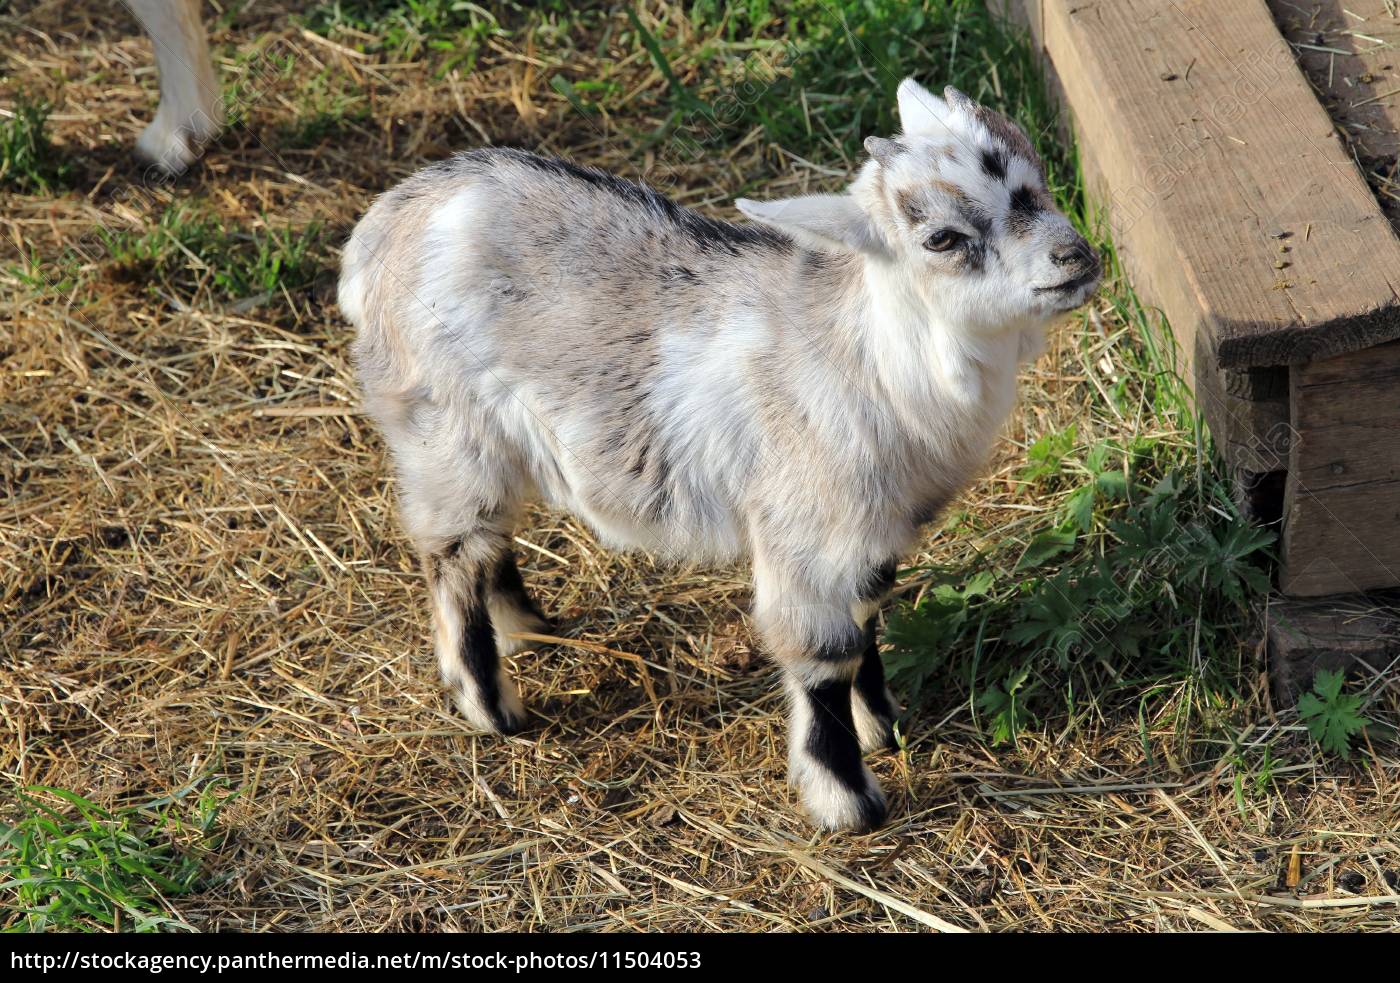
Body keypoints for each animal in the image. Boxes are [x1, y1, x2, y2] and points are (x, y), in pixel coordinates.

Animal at [336, 79, 1092, 828]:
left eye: (1034, 181)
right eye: (942, 237)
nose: (1077, 259)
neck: (870, 353)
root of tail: (381, 227)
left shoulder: (872, 532)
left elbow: (867, 619)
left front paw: (884, 725)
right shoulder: (807, 532)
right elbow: (824, 658)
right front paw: (848, 801)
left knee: (488, 541)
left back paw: (527, 629)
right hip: (442, 431)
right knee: (453, 552)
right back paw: (493, 708)